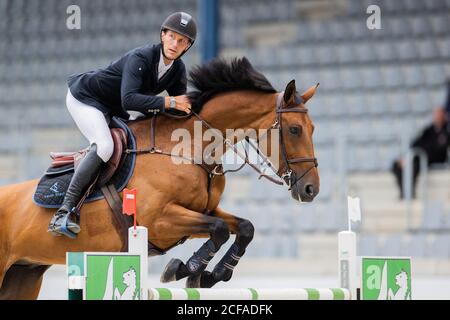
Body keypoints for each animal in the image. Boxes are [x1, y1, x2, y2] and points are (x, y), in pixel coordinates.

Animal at [0, 56, 320, 298]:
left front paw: (212, 275)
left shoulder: (201, 212)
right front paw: (184, 269)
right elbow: (218, 230)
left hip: (22, 275)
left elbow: (243, 228)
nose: (311, 189)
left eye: (313, 128)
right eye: (294, 129)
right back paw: (63, 218)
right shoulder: (159, 220)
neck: (190, 150)